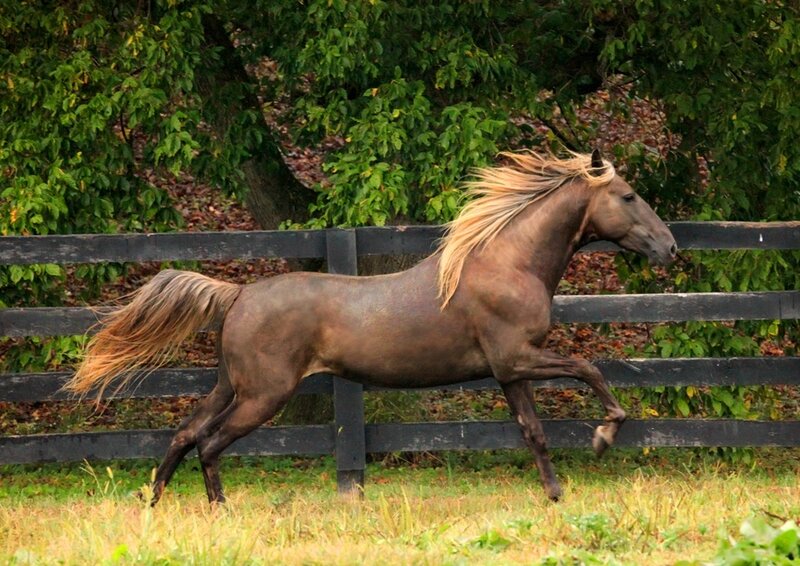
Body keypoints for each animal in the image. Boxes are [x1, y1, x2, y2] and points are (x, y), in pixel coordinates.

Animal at [67, 149, 677, 504]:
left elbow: (534, 432)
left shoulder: (509, 372)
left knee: (185, 433)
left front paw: (555, 495)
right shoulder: (518, 357)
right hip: (263, 395)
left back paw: (154, 503)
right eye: (628, 196)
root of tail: (239, 293)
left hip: (229, 386)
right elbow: (588, 368)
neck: (507, 262)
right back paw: (219, 510)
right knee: (211, 444)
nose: (670, 247)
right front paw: (603, 437)